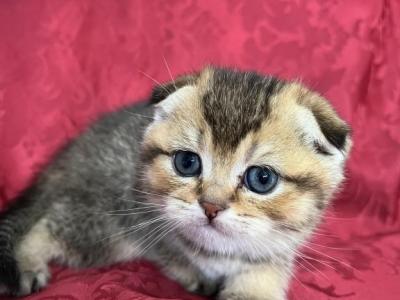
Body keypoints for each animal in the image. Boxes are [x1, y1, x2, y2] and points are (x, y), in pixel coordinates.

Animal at [0, 67, 350, 298]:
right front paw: (192, 272)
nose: (210, 206)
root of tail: (68, 158)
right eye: (187, 163)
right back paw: (28, 263)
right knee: (48, 224)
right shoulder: (146, 221)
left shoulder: (277, 252)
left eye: (262, 179)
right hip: (104, 224)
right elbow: (170, 251)